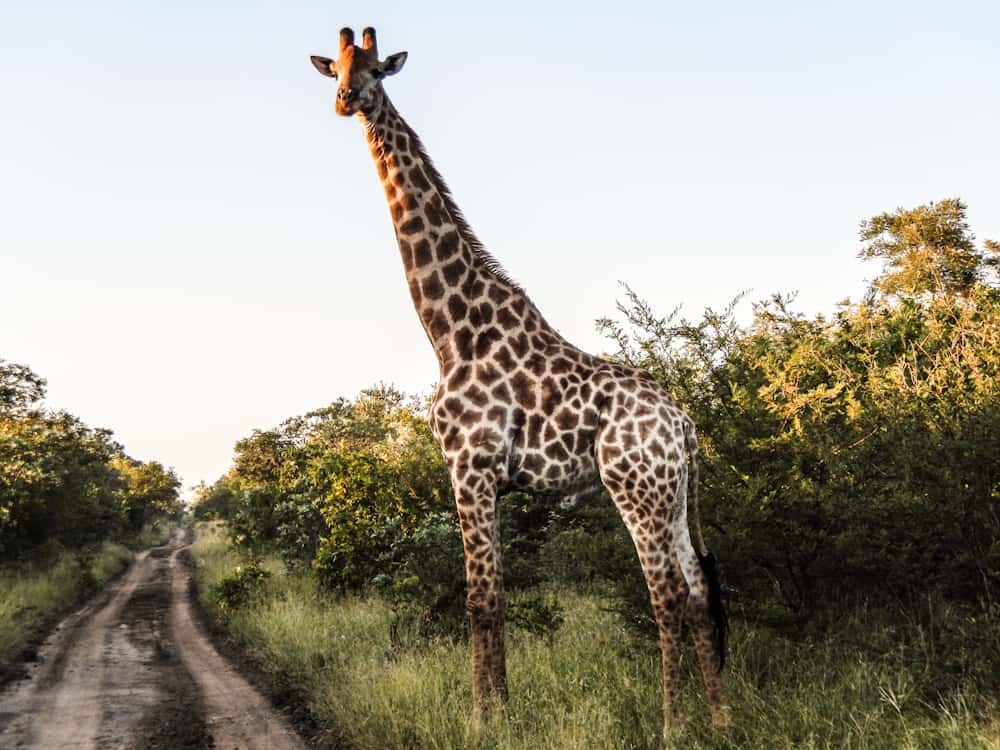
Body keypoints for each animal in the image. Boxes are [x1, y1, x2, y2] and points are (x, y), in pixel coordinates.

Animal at [308, 26, 732, 736]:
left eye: (374, 68)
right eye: (334, 67)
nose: (346, 99)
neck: (450, 331)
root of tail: (685, 425)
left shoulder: (469, 466)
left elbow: (481, 601)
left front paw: (486, 720)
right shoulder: (488, 479)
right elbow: (492, 598)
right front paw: (497, 710)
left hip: (635, 489)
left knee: (668, 595)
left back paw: (675, 725)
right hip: (672, 495)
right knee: (699, 592)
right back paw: (723, 718)